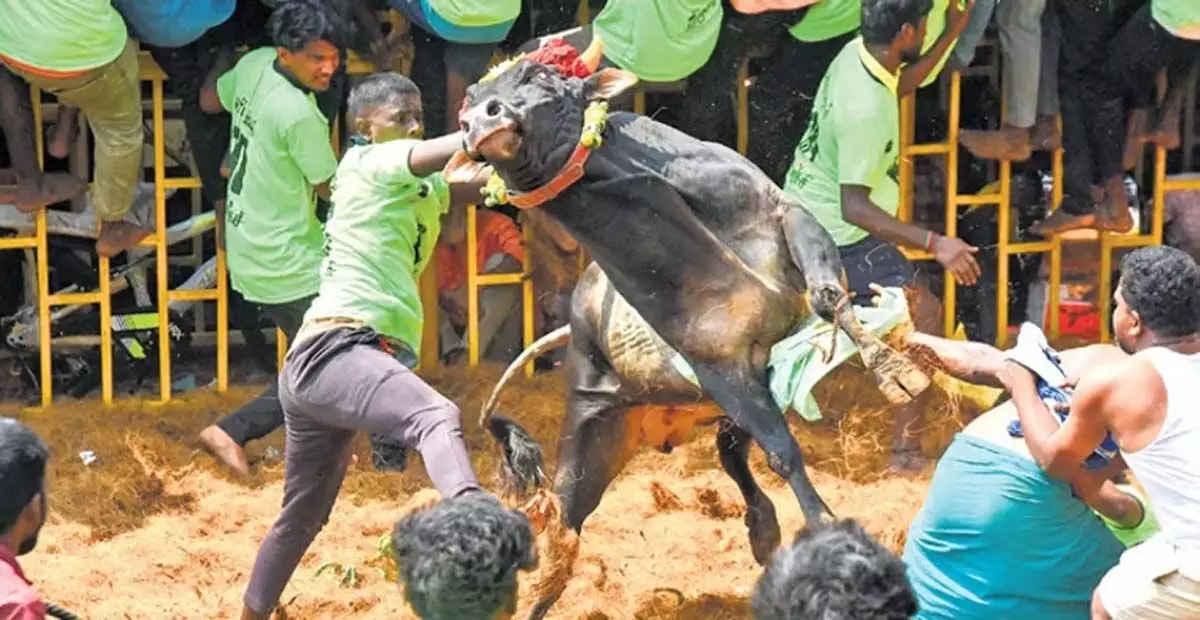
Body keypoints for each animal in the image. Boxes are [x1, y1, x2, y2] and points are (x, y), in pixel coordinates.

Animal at [446, 61, 931, 609]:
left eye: (538, 75)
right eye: (468, 103)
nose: (480, 121)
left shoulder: (787, 218)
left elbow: (828, 298)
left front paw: (897, 372)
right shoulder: (718, 368)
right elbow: (783, 452)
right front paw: (826, 529)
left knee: (731, 452)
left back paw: (762, 530)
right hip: (594, 425)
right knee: (567, 524)